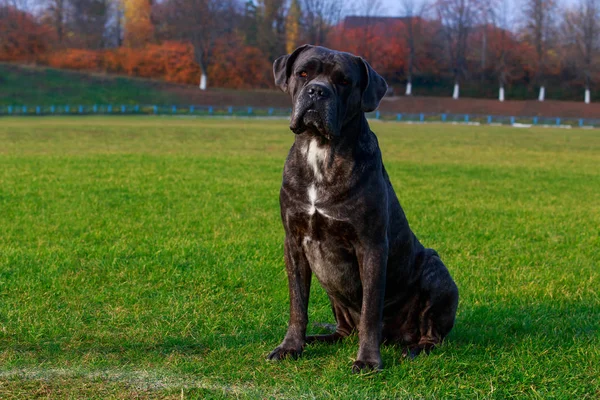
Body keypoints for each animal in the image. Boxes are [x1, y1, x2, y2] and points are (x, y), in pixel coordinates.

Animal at [268, 45, 460, 374]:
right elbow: (298, 304)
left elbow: (371, 310)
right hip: (335, 296)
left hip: (437, 273)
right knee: (344, 330)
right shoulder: (293, 242)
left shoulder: (370, 246)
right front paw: (291, 346)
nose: (317, 91)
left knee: (431, 333)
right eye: (303, 73)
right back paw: (318, 339)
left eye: (344, 81)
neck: (322, 151)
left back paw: (414, 349)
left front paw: (368, 360)